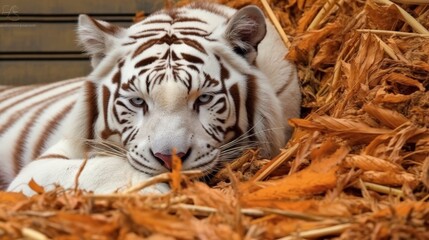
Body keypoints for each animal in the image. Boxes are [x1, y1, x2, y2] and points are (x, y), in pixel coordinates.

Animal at [1, 2, 300, 195]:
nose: (170, 159)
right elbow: (101, 167)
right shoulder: (42, 165)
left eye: (203, 99)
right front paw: (153, 190)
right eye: (137, 101)